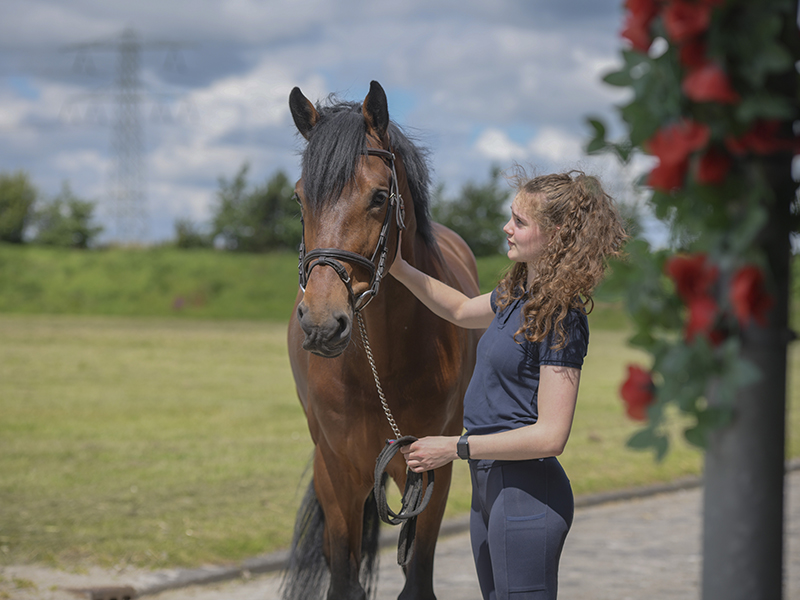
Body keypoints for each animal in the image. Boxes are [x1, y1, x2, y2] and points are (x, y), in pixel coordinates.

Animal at [282, 80, 480, 600]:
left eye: (377, 196)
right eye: (300, 198)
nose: (322, 322)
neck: (381, 368)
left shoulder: (432, 468)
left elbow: (419, 577)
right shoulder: (337, 472)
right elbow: (343, 579)